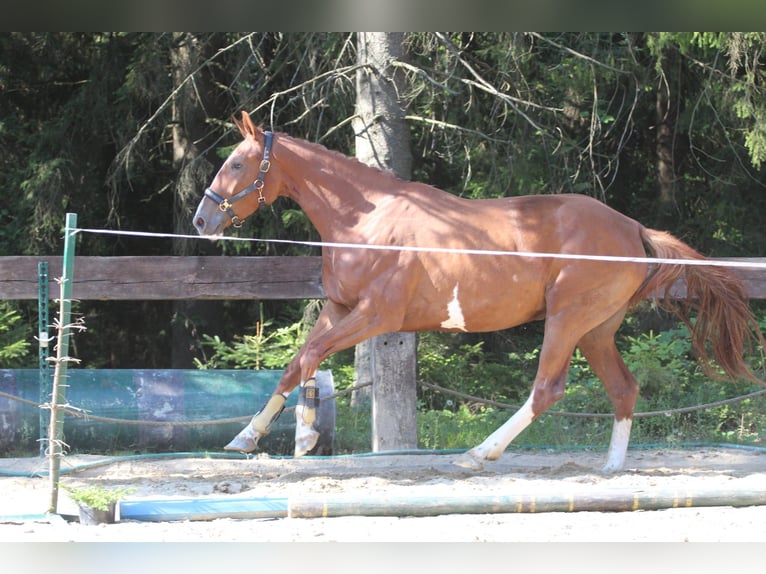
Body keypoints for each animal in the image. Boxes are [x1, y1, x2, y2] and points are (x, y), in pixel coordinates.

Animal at [195, 112, 764, 472]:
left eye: (237, 164)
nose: (201, 221)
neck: (364, 220)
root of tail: (631, 229)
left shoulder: (377, 315)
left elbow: (311, 356)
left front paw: (308, 436)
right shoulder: (339, 308)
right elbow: (296, 362)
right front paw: (244, 437)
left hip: (568, 320)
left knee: (547, 389)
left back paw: (477, 454)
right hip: (597, 329)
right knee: (623, 389)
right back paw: (610, 468)